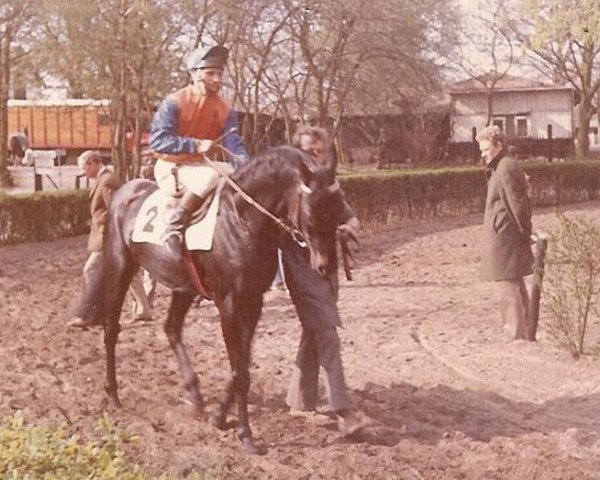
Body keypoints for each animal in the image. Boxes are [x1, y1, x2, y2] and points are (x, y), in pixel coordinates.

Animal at [102, 145, 344, 454]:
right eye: (312, 214)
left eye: (338, 212)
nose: (327, 267)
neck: (241, 220)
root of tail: (124, 190)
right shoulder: (228, 303)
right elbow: (239, 371)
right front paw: (246, 435)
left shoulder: (253, 301)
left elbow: (241, 364)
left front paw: (219, 416)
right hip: (119, 267)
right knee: (111, 329)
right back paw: (113, 395)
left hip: (184, 287)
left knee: (171, 329)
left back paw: (194, 395)